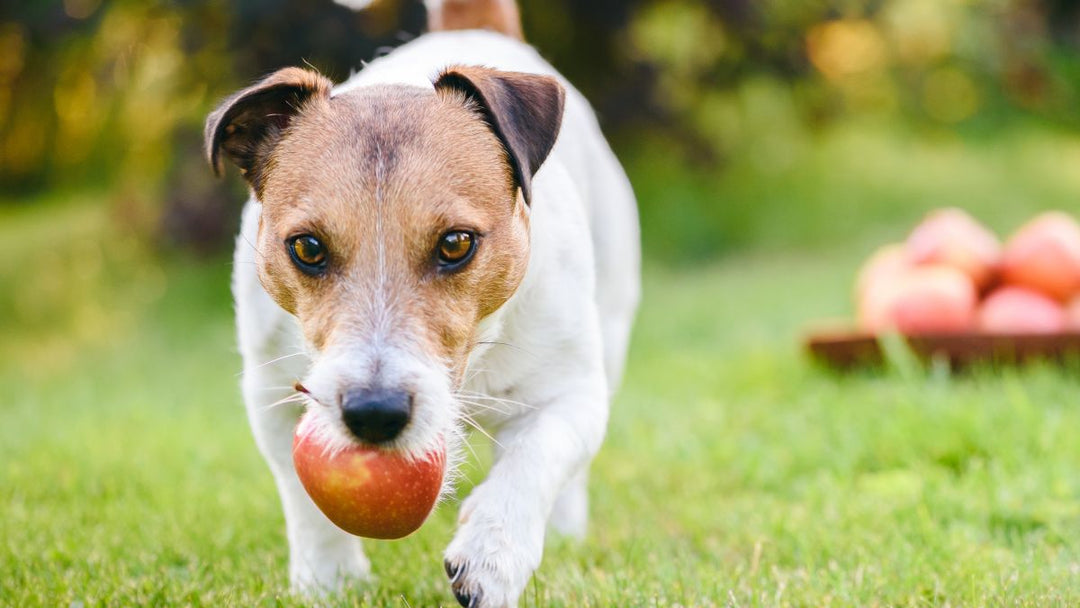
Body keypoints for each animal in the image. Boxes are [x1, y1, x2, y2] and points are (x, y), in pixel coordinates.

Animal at [204, 1, 639, 604]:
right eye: (307, 247)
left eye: (456, 243)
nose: (374, 412)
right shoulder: (270, 395)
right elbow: (304, 500)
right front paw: (328, 580)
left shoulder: (572, 391)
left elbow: (537, 457)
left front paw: (493, 554)